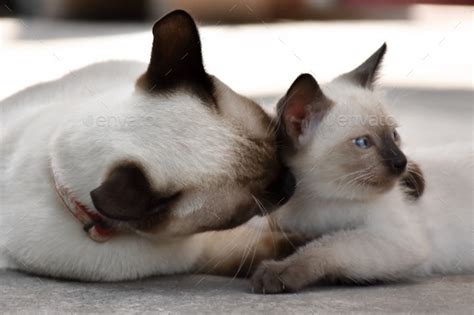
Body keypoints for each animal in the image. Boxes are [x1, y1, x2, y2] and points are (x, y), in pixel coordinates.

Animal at [250, 43, 472, 294]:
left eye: (394, 135)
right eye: (363, 143)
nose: (401, 162)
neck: (313, 199)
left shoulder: (398, 239)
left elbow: (329, 243)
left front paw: (278, 271)